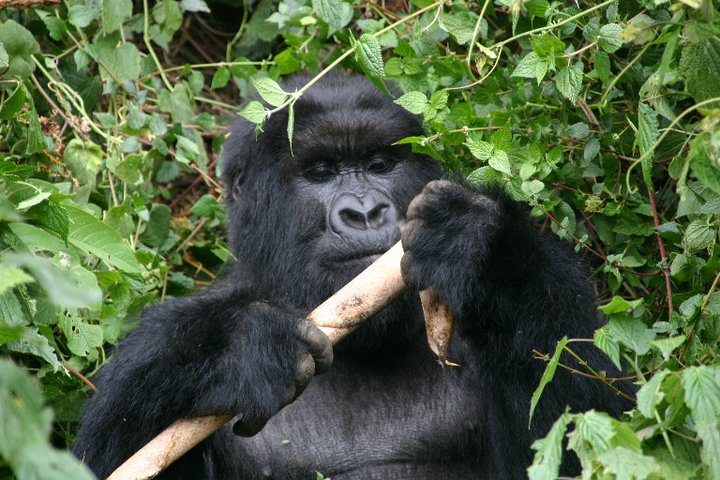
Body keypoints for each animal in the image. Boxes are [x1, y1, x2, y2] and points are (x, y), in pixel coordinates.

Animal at [70, 75, 628, 480]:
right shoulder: (153, 340)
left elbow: (588, 432)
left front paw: (482, 249)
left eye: (379, 164)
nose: (364, 212)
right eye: (320, 172)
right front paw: (239, 350)